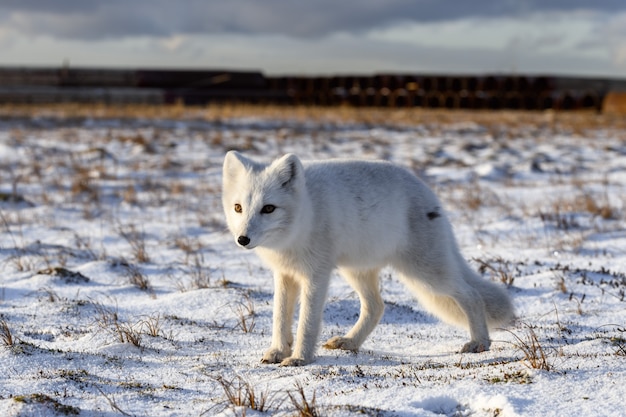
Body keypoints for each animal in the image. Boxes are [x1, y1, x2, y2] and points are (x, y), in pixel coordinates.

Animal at [222, 151, 510, 366]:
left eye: (268, 208)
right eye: (238, 208)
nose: (243, 239)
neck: (304, 217)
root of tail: (429, 193)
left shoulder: (316, 274)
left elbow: (307, 322)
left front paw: (300, 358)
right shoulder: (284, 274)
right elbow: (280, 318)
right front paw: (277, 351)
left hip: (426, 272)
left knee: (471, 294)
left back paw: (480, 342)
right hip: (359, 270)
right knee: (376, 307)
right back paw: (350, 343)